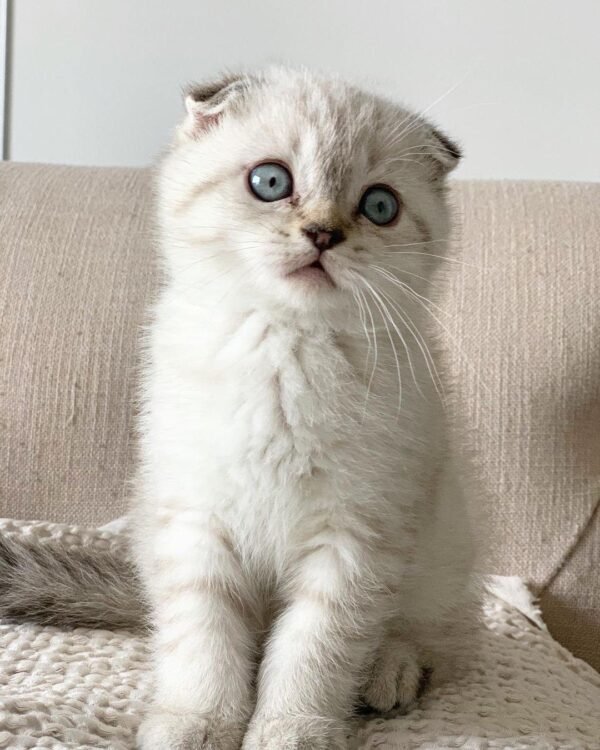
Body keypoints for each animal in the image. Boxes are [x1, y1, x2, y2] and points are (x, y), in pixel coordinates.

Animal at [1, 67, 478, 748]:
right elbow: (207, 643)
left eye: (380, 206)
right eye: (271, 181)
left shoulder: (353, 536)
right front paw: (199, 721)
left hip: (444, 540)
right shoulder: (195, 522)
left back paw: (389, 671)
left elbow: (314, 649)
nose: (323, 234)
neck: (285, 350)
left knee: (431, 630)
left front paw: (293, 728)